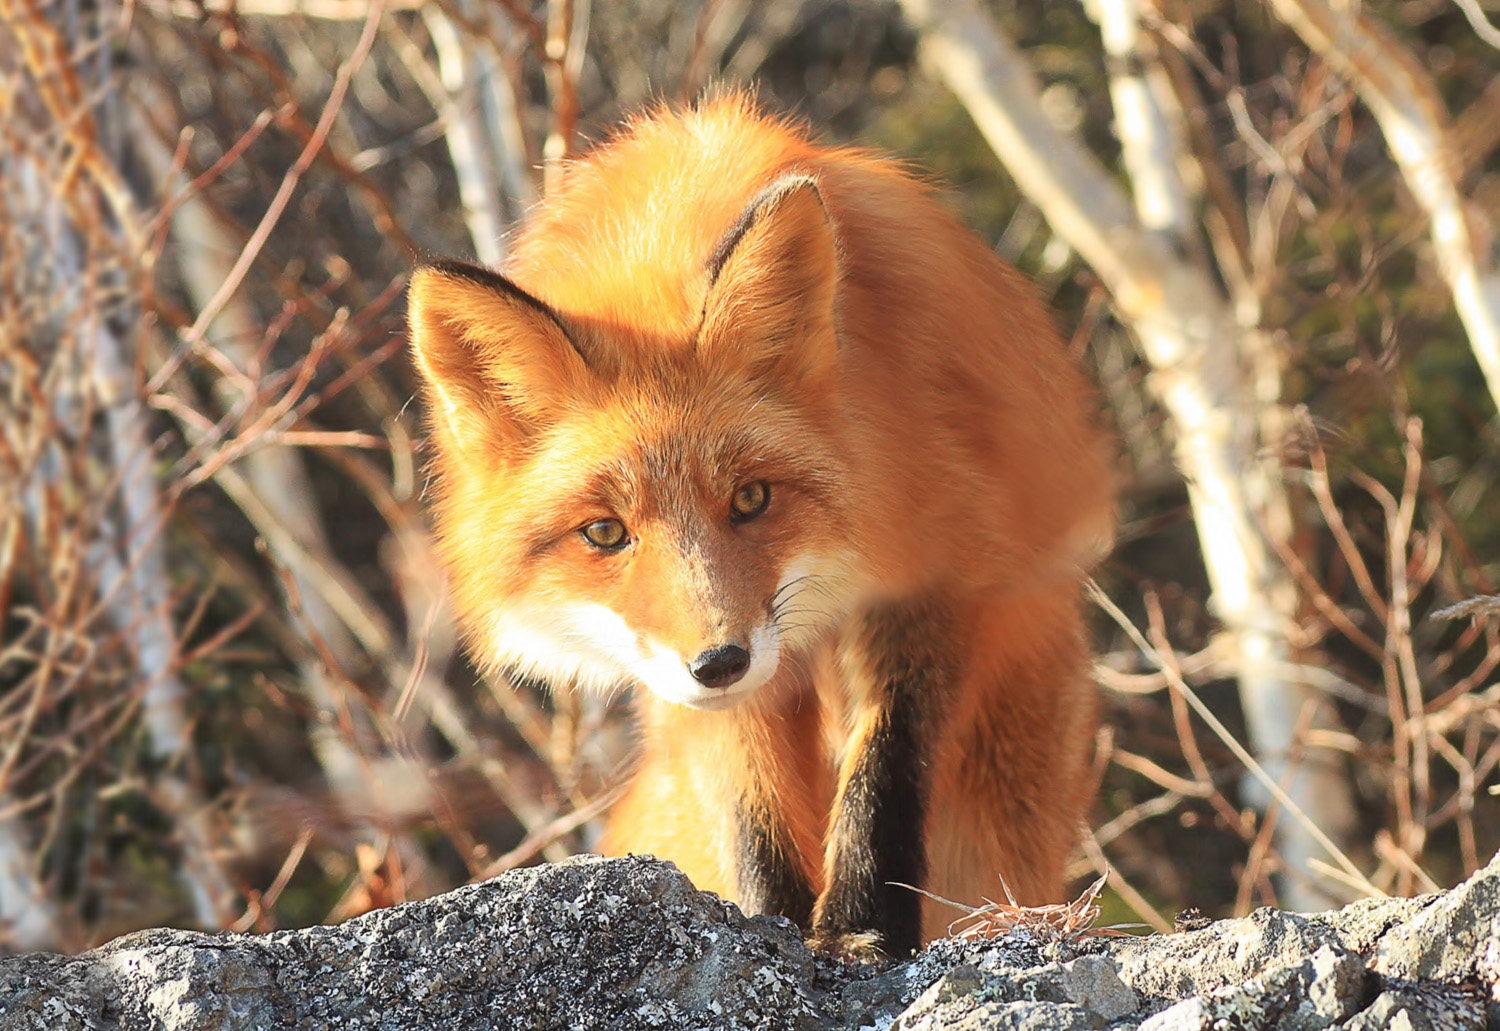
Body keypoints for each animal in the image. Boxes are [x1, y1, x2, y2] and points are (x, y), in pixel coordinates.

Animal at [411, 96, 1116, 960]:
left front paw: (857, 926)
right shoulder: (700, 676)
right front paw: (768, 932)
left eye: (750, 499)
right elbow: (755, 815)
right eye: (605, 533)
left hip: (995, 808)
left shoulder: (938, 576)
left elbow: (884, 769)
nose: (720, 661)